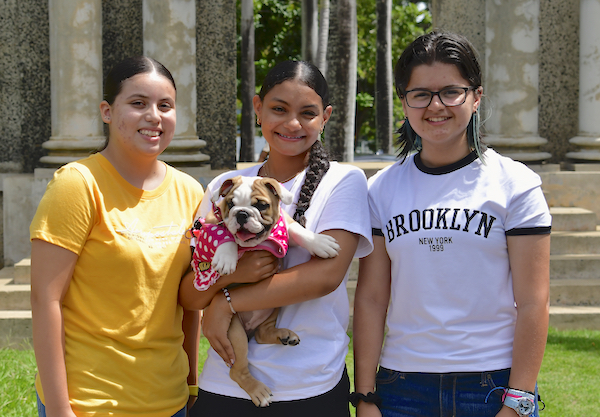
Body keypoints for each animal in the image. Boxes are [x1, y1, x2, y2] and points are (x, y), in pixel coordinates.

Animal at [197, 176, 340, 406]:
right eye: (230, 204)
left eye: (261, 205)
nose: (242, 213)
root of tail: (249, 328)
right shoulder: (208, 227)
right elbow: (224, 234)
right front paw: (226, 257)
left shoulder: (285, 223)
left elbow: (299, 231)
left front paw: (319, 243)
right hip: (234, 333)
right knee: (237, 370)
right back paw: (259, 391)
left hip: (273, 303)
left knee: (263, 333)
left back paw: (284, 335)